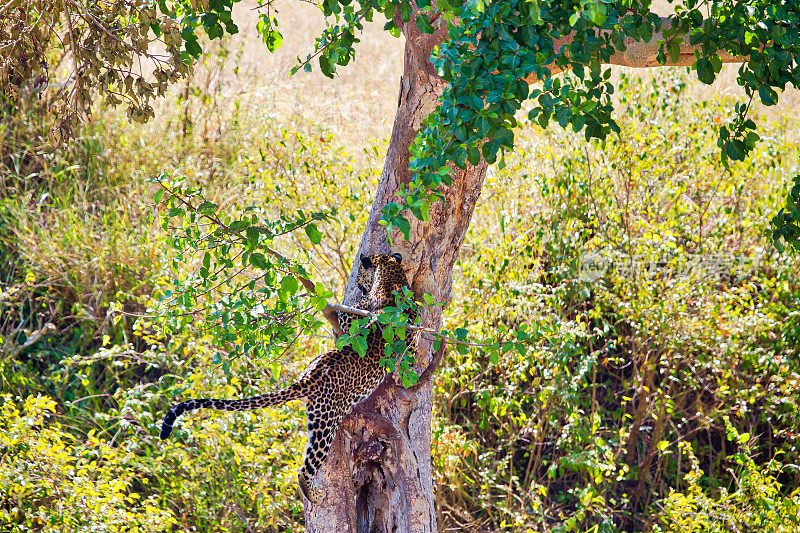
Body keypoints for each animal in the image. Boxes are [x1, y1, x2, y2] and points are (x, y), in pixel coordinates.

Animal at [160, 251, 416, 500]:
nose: (358, 285)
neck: (393, 278)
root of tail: (311, 377)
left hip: (320, 417)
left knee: (307, 462)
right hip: (326, 419)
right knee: (306, 468)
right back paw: (313, 494)